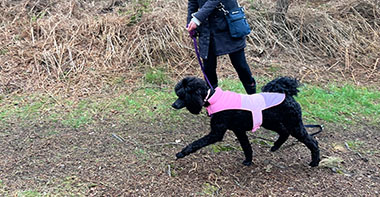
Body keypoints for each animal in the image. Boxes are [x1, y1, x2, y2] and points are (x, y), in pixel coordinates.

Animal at [172, 76, 320, 167]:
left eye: (183, 95)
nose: (173, 105)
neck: (213, 98)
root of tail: (286, 94)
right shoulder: (239, 130)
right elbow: (246, 147)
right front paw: (248, 161)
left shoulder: (216, 133)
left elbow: (196, 143)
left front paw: (182, 153)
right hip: (271, 122)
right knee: (284, 132)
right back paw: (275, 146)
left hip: (294, 125)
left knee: (312, 141)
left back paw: (315, 162)